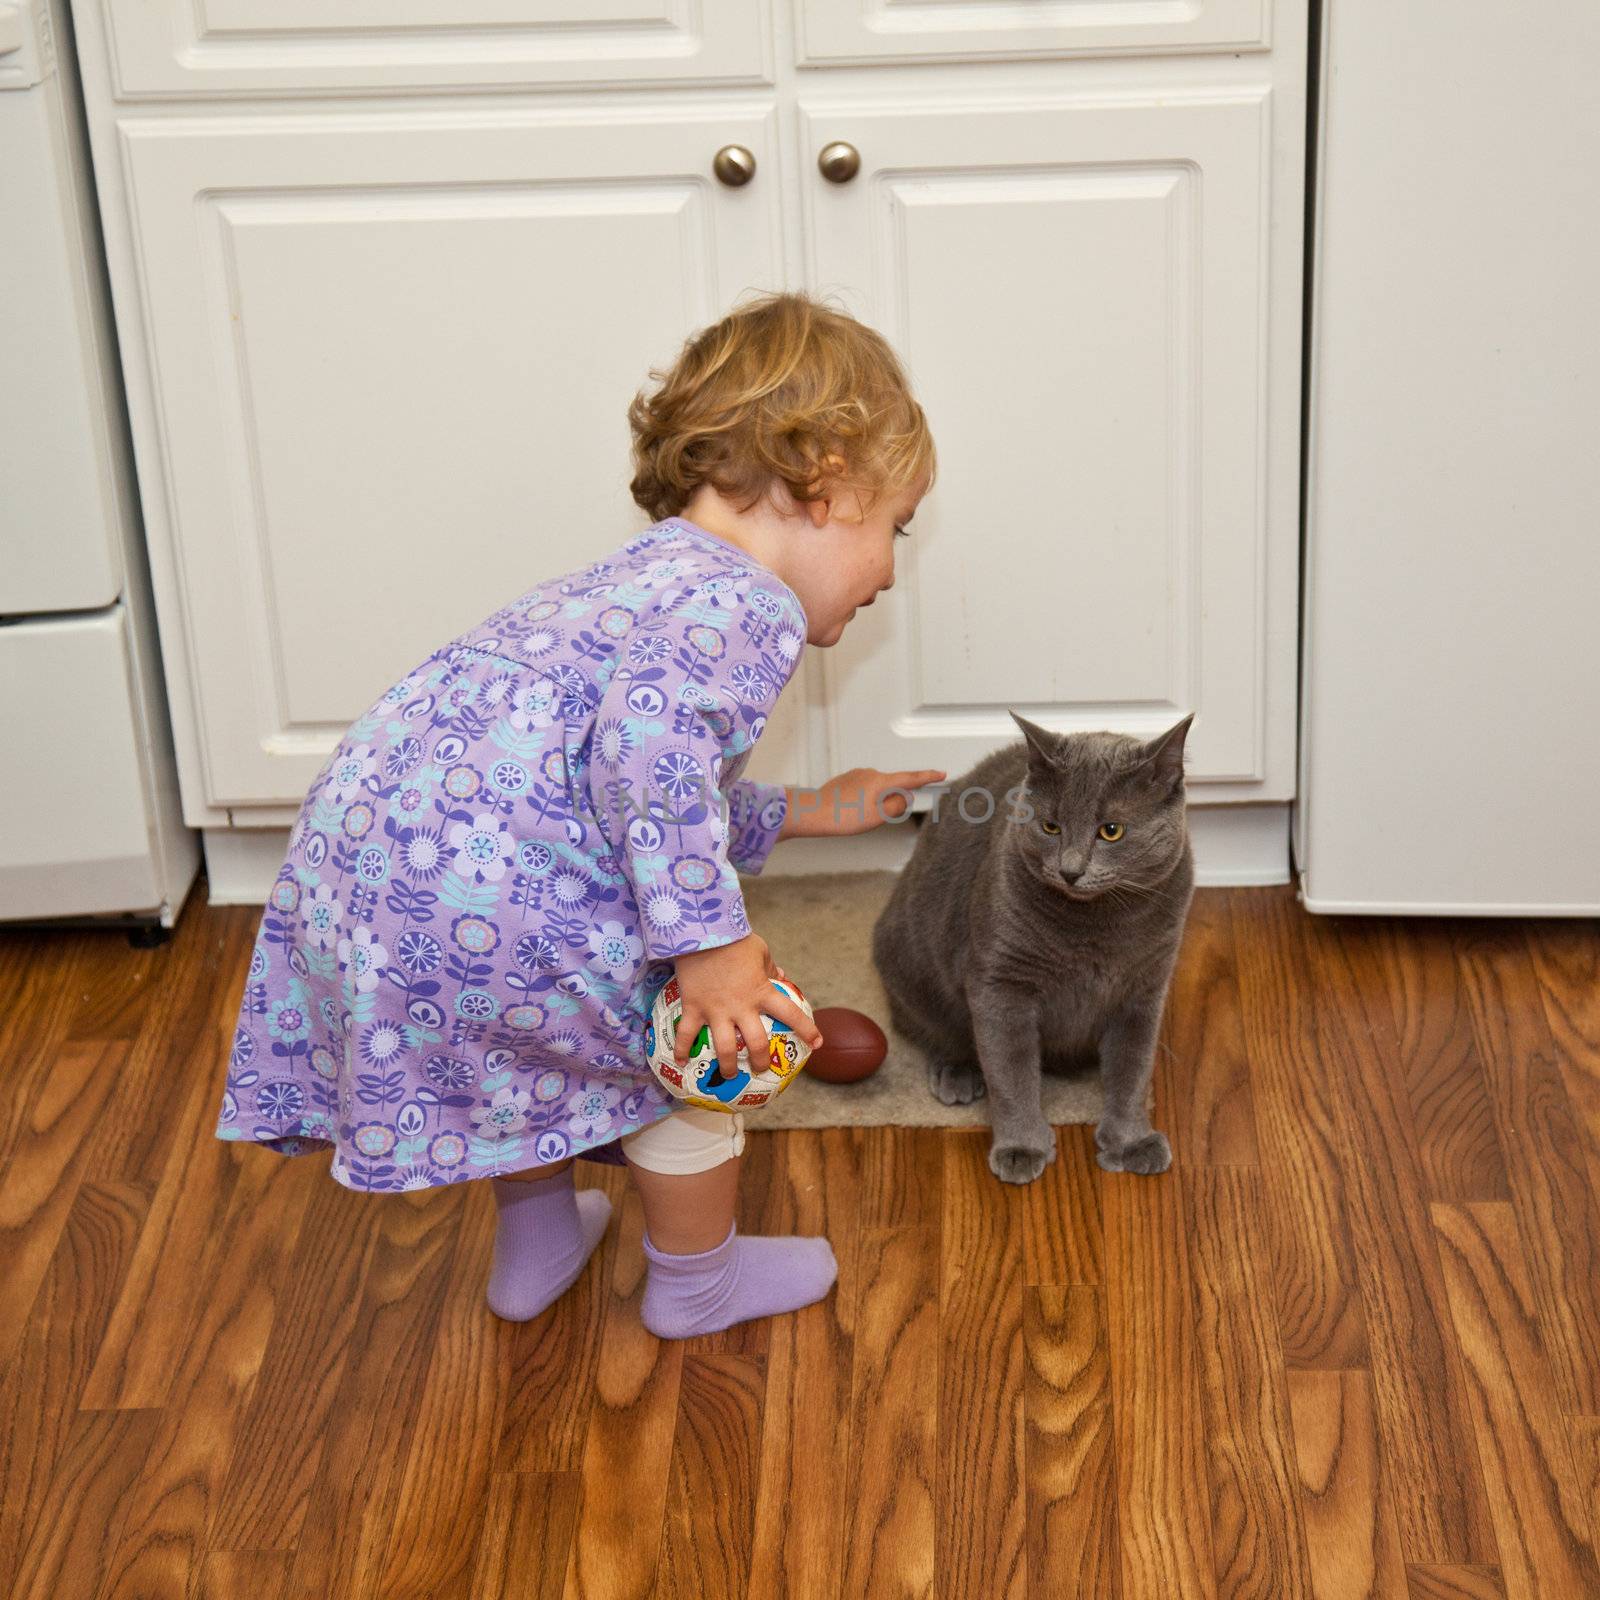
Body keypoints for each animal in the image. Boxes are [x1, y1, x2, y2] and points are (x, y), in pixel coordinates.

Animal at [870, 720, 1196, 1184]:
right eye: (1051, 827)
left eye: (1111, 830)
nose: (1070, 870)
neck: (1094, 929)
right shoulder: (1001, 983)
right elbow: (1011, 1072)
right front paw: (1021, 1148)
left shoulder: (1144, 988)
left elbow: (1133, 1069)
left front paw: (1132, 1141)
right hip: (912, 961)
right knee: (932, 1025)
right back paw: (958, 1071)